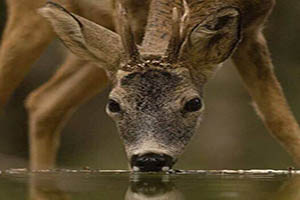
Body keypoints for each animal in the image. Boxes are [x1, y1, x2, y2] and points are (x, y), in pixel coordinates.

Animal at [0, 0, 300, 172]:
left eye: (194, 103)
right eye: (113, 104)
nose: (150, 159)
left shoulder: (251, 30)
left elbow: (281, 122)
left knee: (45, 101)